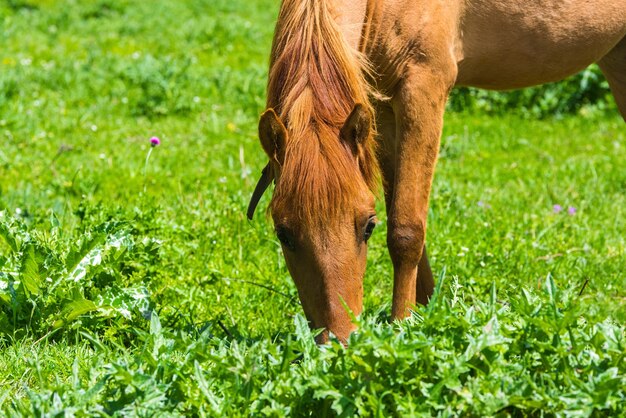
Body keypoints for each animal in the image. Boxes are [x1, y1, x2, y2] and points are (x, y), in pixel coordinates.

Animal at [246, 0, 620, 342]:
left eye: (367, 226)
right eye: (283, 233)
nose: (340, 338)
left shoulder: (423, 87)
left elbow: (405, 230)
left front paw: (401, 327)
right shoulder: (382, 110)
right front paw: (426, 312)